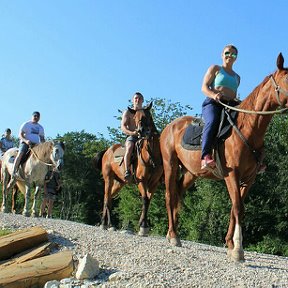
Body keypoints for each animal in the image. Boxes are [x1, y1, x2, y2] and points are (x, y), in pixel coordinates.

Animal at [93, 103, 163, 236]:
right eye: (135, 118)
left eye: (148, 115)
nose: (141, 131)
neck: (151, 154)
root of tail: (107, 151)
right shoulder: (142, 181)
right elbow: (145, 199)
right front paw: (143, 227)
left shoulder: (154, 183)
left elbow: (148, 201)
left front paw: (142, 225)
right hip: (108, 179)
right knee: (106, 199)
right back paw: (106, 224)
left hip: (119, 183)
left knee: (109, 198)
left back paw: (108, 224)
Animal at [160, 53, 288, 262]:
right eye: (286, 79)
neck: (248, 129)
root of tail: (169, 126)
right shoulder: (231, 175)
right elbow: (238, 209)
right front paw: (238, 250)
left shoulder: (249, 179)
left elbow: (235, 209)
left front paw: (229, 244)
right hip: (169, 164)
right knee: (170, 195)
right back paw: (173, 236)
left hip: (190, 173)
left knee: (178, 193)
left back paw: (175, 233)